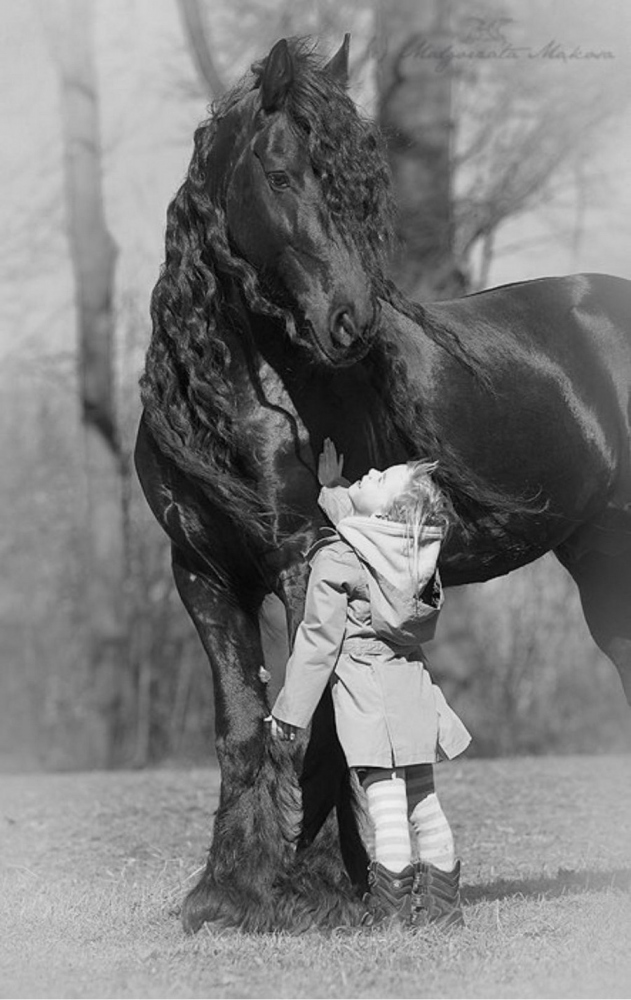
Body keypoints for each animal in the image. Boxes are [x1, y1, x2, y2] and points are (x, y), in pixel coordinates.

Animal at [135, 37, 631, 928]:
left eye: (361, 187)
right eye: (280, 173)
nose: (351, 322)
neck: (245, 398)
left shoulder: (304, 561)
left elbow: (320, 724)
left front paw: (318, 884)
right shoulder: (202, 574)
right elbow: (241, 727)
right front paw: (224, 889)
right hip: (600, 556)